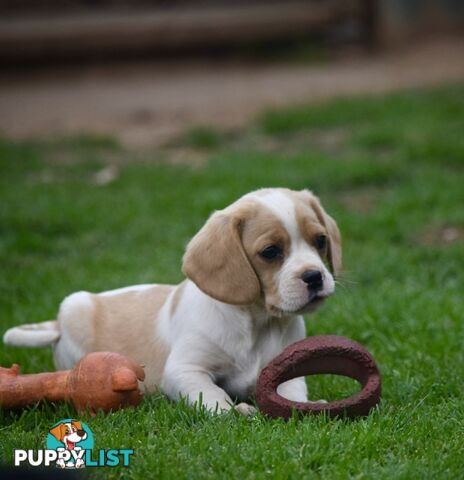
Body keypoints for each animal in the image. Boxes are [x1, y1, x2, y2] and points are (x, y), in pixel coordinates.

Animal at [3, 189, 340, 414]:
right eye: (270, 252)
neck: (258, 323)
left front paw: (307, 405)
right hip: (75, 308)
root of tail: (56, 324)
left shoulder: (286, 365)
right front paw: (234, 411)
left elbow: (292, 388)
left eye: (320, 240)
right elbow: (212, 395)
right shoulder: (184, 371)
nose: (314, 277)